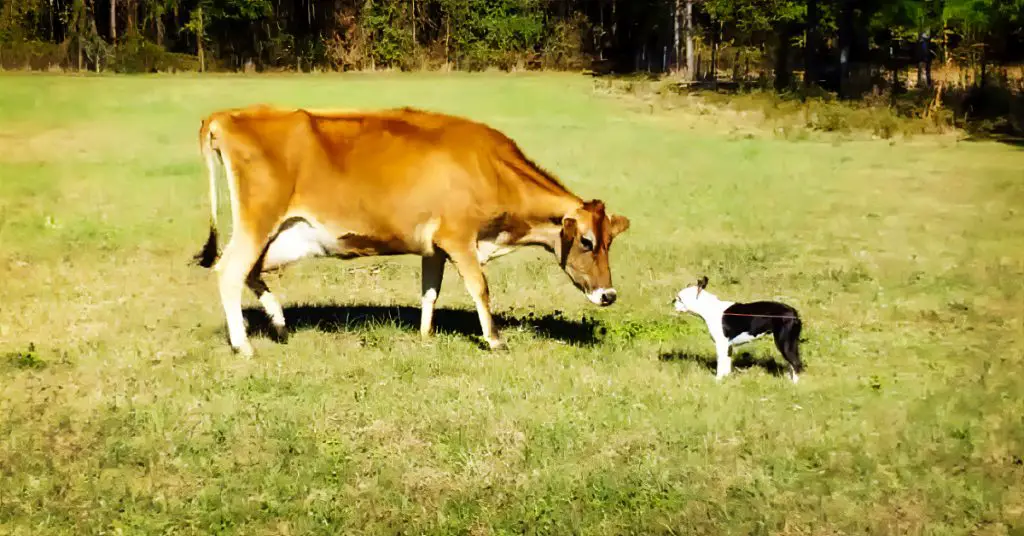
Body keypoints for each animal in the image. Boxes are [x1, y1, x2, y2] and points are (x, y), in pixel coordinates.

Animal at [188, 105, 626, 356]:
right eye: (586, 241)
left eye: (609, 241)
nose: (609, 295)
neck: (491, 168)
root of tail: (227, 115)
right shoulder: (458, 238)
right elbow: (480, 289)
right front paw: (495, 340)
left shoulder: (433, 248)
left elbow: (430, 292)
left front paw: (426, 335)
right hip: (258, 222)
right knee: (230, 271)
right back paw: (243, 344)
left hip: (281, 235)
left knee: (251, 271)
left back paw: (279, 323)